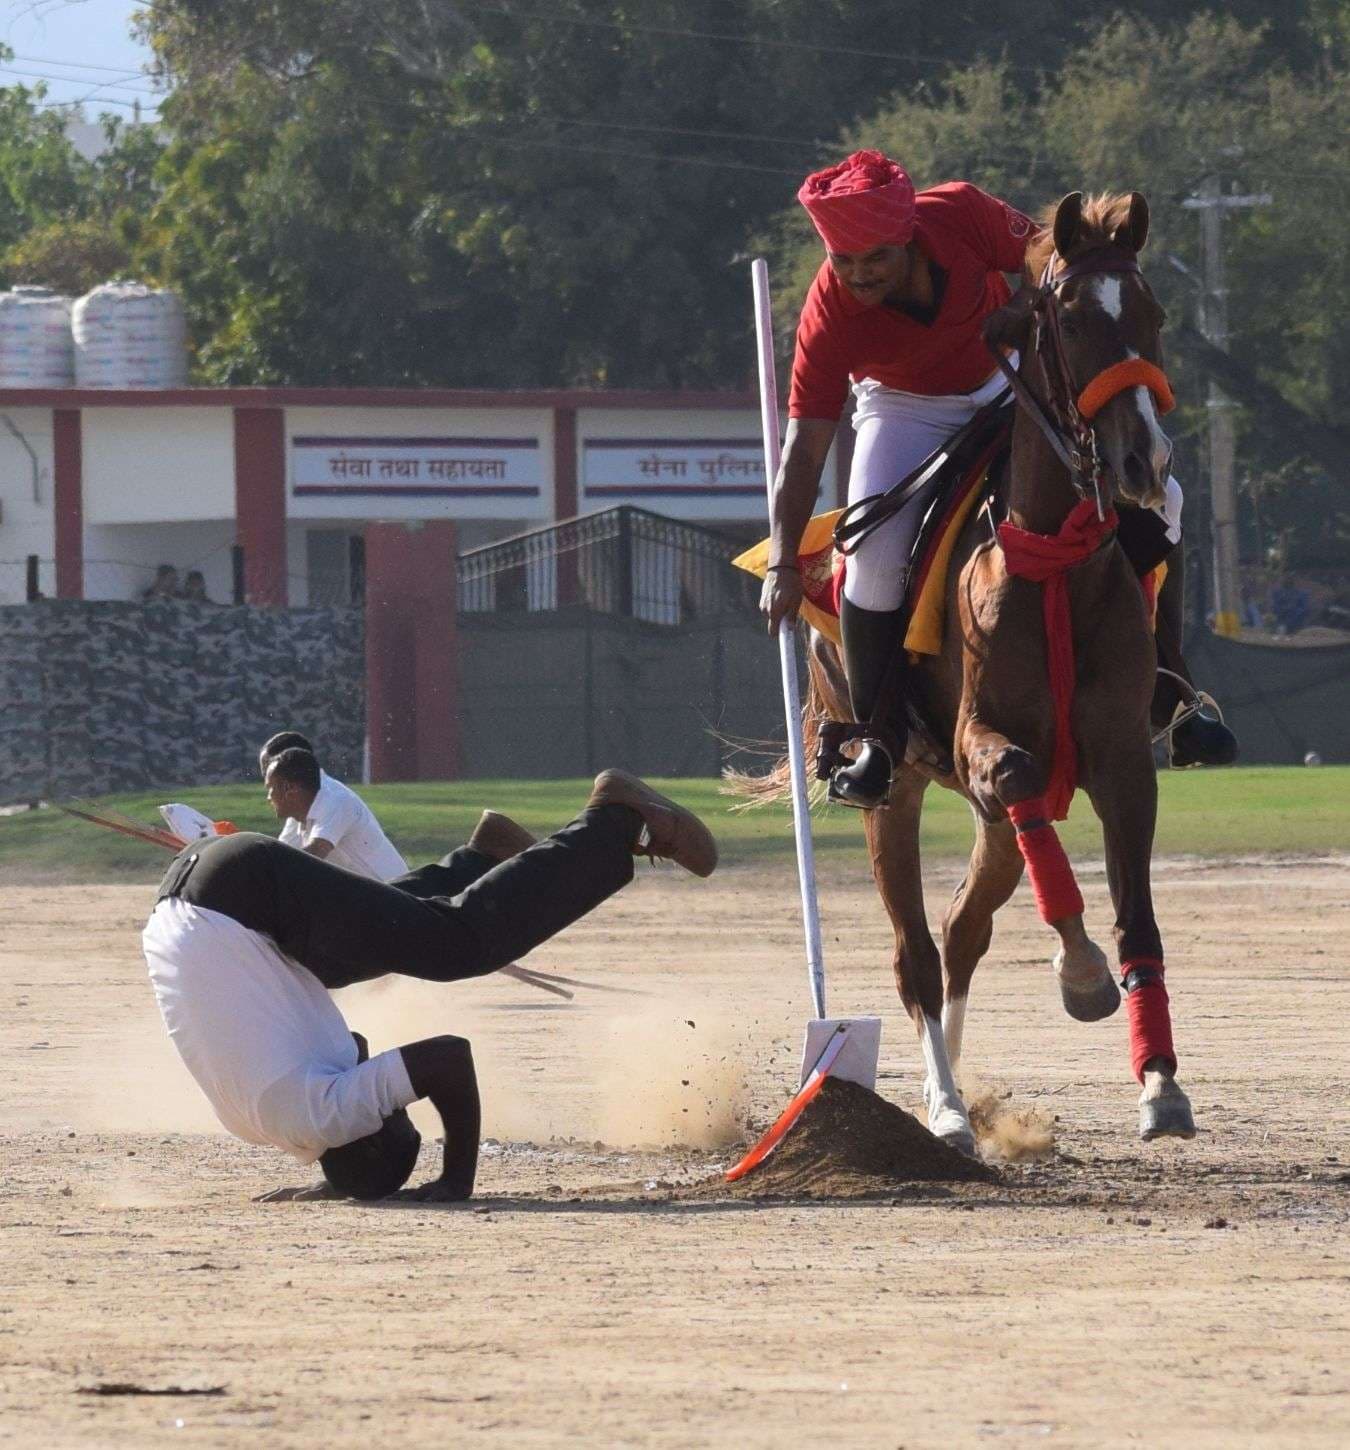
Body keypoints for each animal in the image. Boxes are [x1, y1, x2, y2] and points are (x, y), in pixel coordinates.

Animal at [794, 192, 1194, 1148]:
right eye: (1072, 320)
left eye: (1155, 313)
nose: (1145, 461)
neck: (1052, 554)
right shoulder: (987, 742)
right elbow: (1011, 773)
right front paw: (1080, 972)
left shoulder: (1121, 757)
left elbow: (1137, 916)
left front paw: (1160, 1081)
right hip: (893, 789)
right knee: (916, 951)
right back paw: (943, 1109)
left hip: (997, 830)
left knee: (962, 928)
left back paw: (952, 1092)